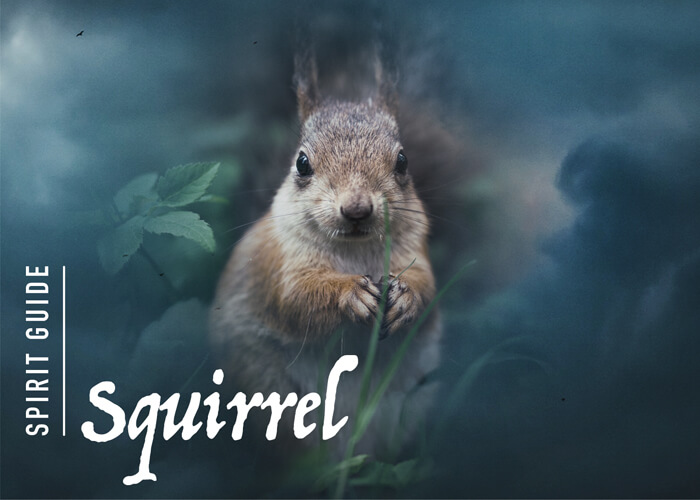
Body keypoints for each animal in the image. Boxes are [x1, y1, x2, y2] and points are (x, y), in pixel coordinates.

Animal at [209, 52, 442, 459]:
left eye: (402, 161)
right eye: (302, 163)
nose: (356, 209)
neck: (353, 250)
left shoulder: (416, 246)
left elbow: (427, 283)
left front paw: (406, 298)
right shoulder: (279, 262)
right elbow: (295, 298)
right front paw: (350, 294)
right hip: (264, 388)